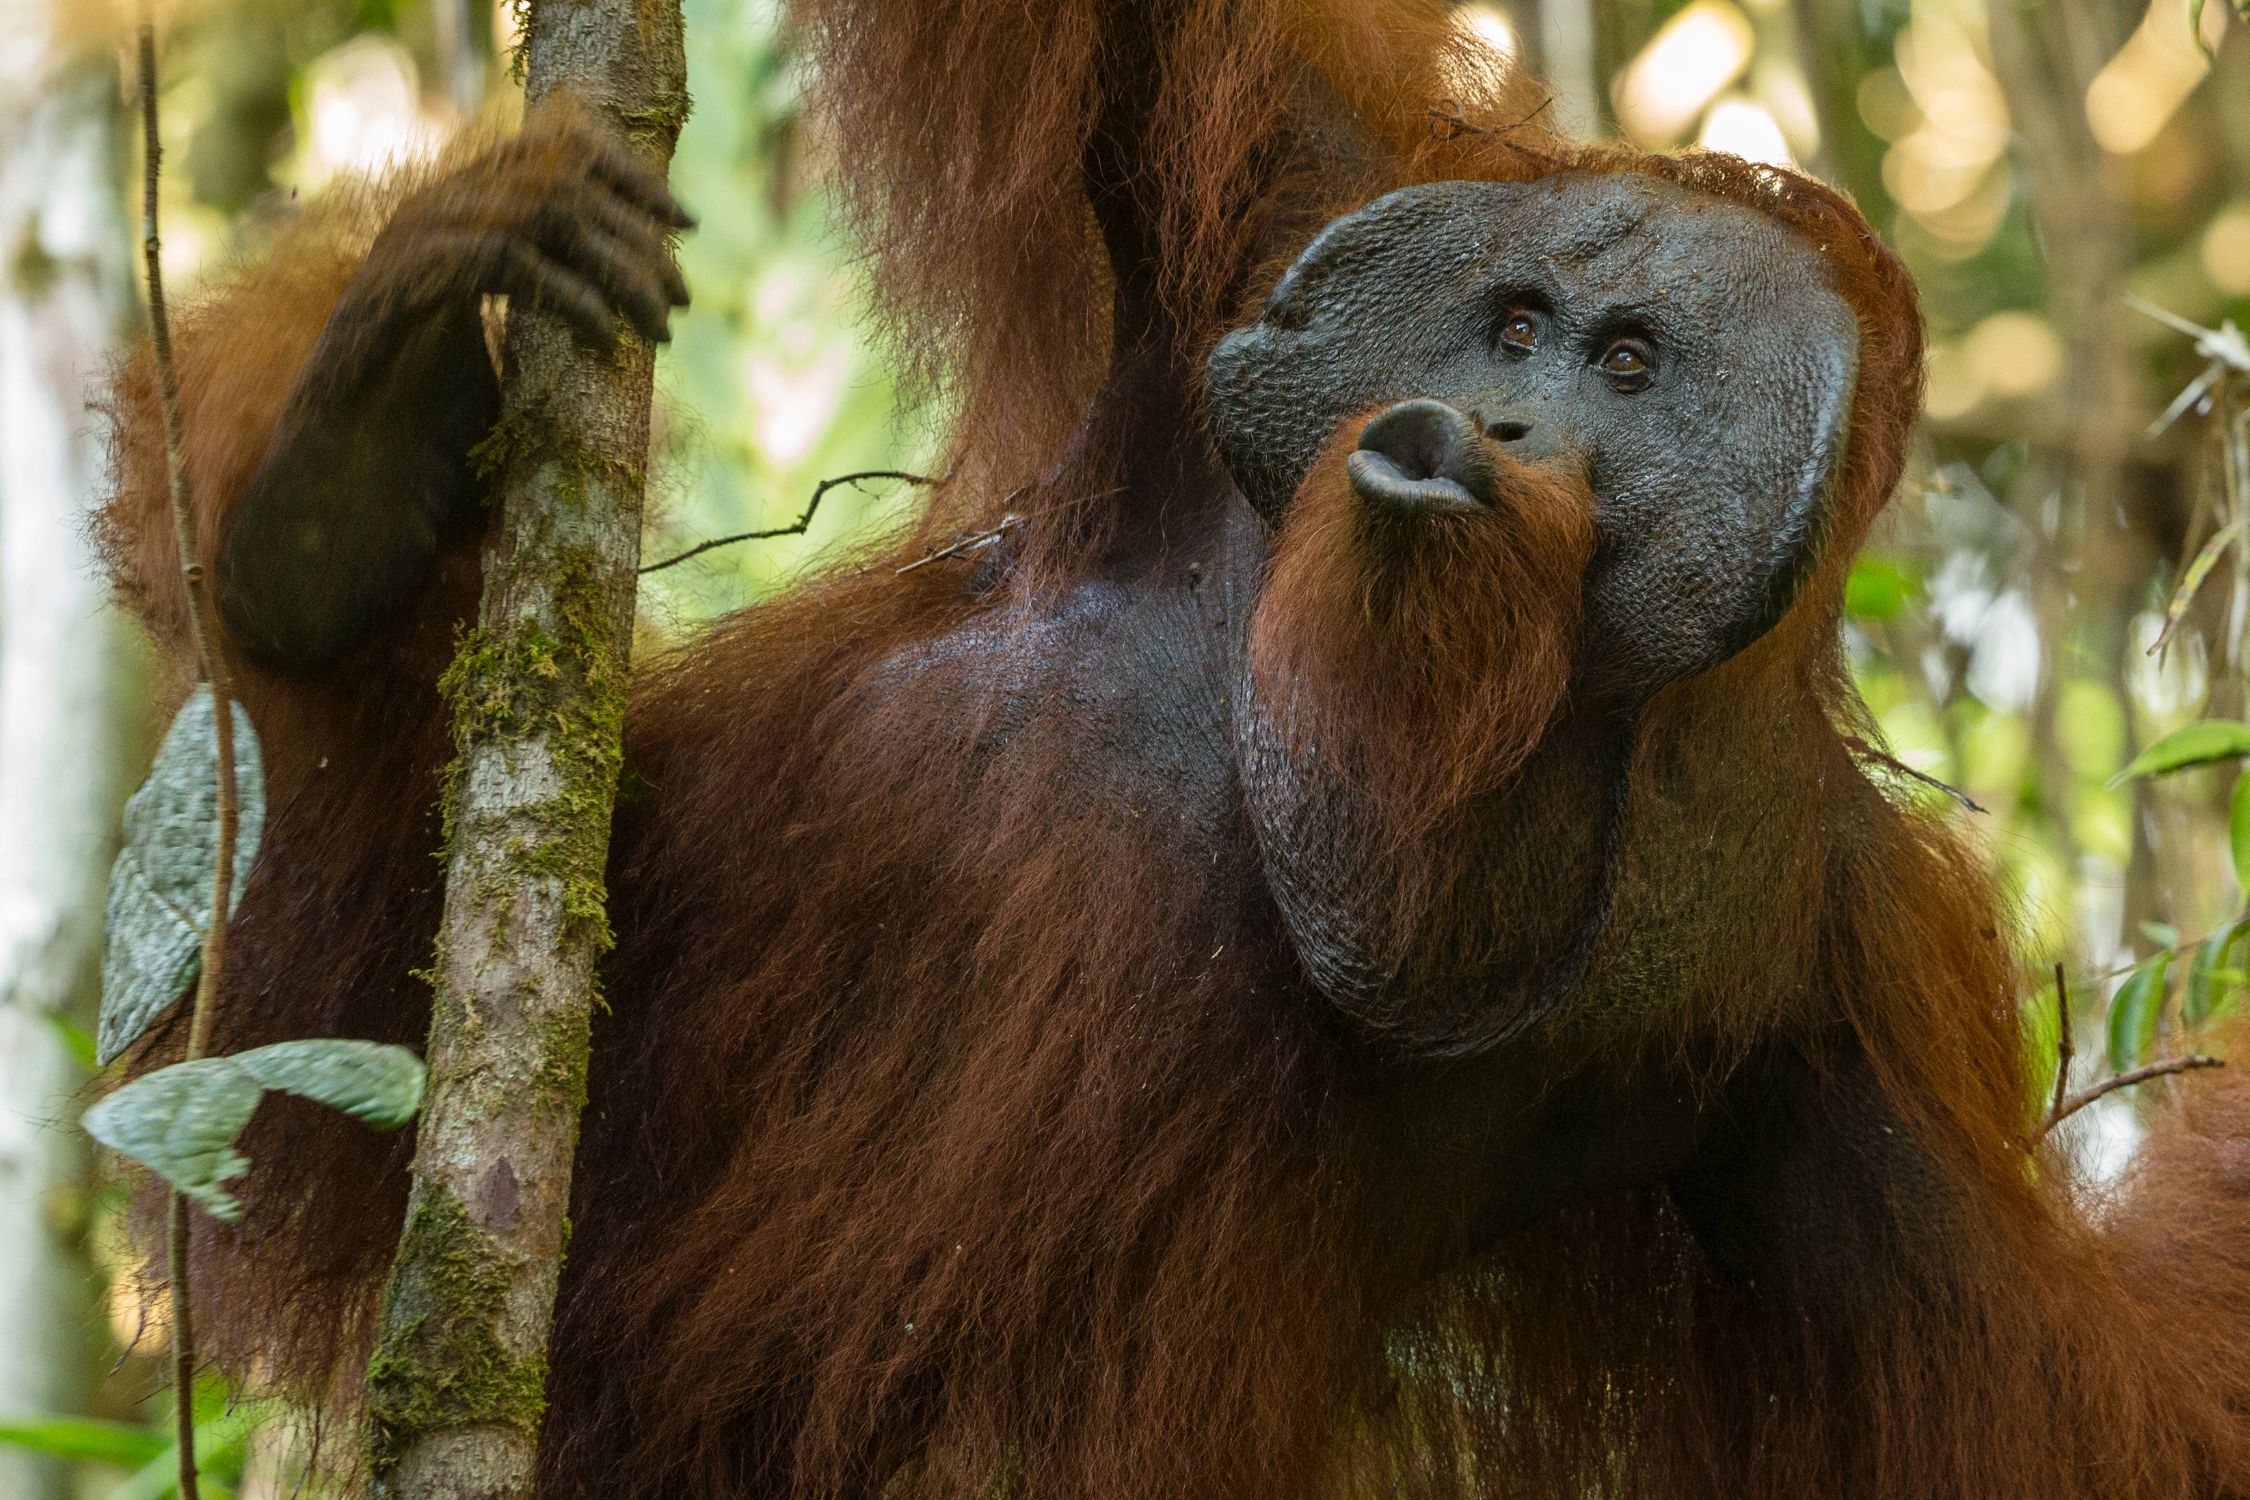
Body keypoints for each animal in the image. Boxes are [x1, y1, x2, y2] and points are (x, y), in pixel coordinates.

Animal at [94, 2, 2250, 1497]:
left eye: (1632, 368)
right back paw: (334, 486)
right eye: (1515, 322)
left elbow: (2060, 1404)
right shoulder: (1285, 192)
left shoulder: (1830, 967)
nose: (1485, 425)